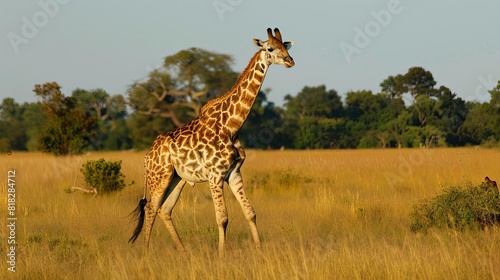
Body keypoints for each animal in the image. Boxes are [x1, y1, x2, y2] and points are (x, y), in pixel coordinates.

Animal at [129, 27, 294, 256]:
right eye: (270, 48)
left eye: (285, 47)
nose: (290, 61)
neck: (231, 125)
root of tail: (147, 156)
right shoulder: (215, 175)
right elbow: (222, 218)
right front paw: (222, 256)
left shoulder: (234, 173)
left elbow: (250, 212)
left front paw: (259, 251)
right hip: (159, 177)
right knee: (151, 207)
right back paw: (146, 254)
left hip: (177, 178)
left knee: (165, 209)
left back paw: (184, 253)